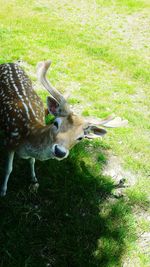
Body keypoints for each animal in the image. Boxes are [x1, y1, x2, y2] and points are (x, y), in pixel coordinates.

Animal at [0, 60, 127, 197]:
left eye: (81, 137)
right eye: (56, 123)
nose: (60, 151)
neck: (29, 133)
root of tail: (9, 63)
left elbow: (32, 161)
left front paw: (34, 179)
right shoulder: (9, 141)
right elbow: (8, 169)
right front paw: (3, 191)